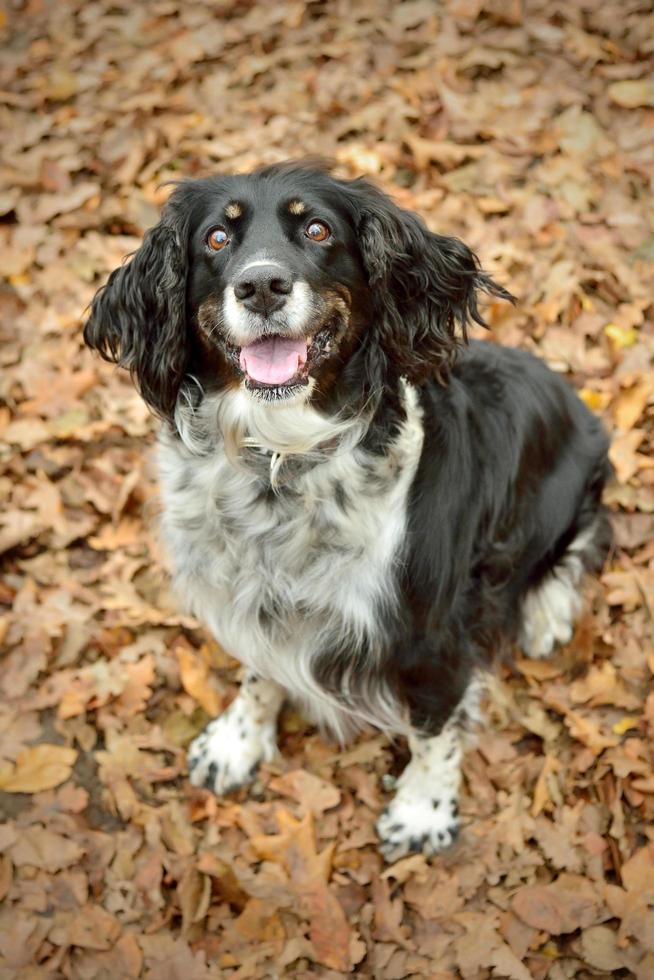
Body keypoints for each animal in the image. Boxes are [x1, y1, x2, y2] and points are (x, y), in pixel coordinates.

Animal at [83, 163, 616, 856]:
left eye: (316, 229)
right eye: (217, 239)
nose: (261, 285)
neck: (283, 463)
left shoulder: (431, 632)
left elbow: (434, 726)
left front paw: (422, 810)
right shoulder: (253, 598)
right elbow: (259, 671)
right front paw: (237, 740)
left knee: (573, 547)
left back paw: (546, 613)